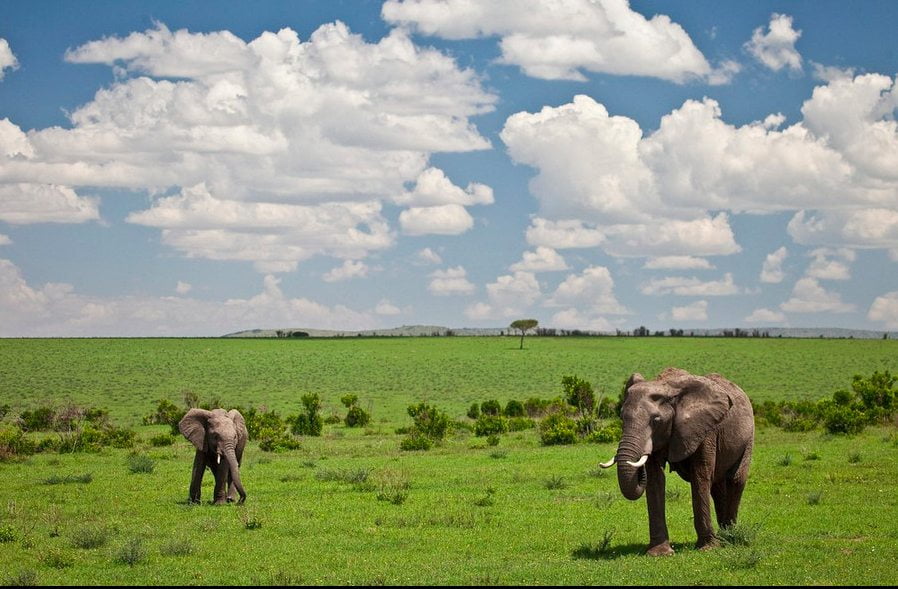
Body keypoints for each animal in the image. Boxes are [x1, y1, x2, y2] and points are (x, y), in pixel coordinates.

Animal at [600, 368, 752, 556]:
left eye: (656, 420)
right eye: (621, 418)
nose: (638, 467)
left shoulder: (705, 429)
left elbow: (700, 477)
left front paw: (708, 548)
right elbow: (655, 479)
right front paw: (659, 553)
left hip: (748, 437)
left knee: (735, 480)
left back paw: (729, 538)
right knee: (717, 487)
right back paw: (723, 536)